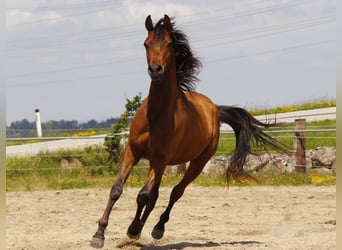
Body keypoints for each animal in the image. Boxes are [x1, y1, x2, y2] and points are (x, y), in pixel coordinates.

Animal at [91, 14, 286, 248]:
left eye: (169, 44)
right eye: (146, 43)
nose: (155, 70)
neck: (156, 114)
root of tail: (214, 109)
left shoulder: (161, 159)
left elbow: (143, 195)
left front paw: (132, 230)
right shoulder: (133, 152)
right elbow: (117, 190)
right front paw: (99, 234)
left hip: (197, 162)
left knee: (176, 192)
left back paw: (156, 228)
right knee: (156, 196)